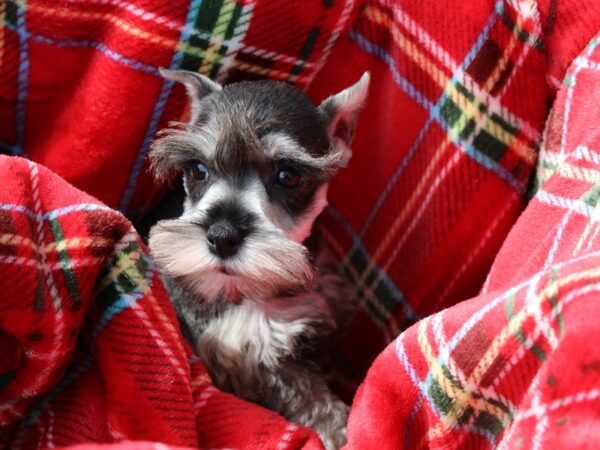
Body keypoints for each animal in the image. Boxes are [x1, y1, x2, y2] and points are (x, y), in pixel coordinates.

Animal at [148, 67, 368, 450]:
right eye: (198, 169)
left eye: (288, 175)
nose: (222, 237)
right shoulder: (247, 355)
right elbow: (308, 395)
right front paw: (340, 429)